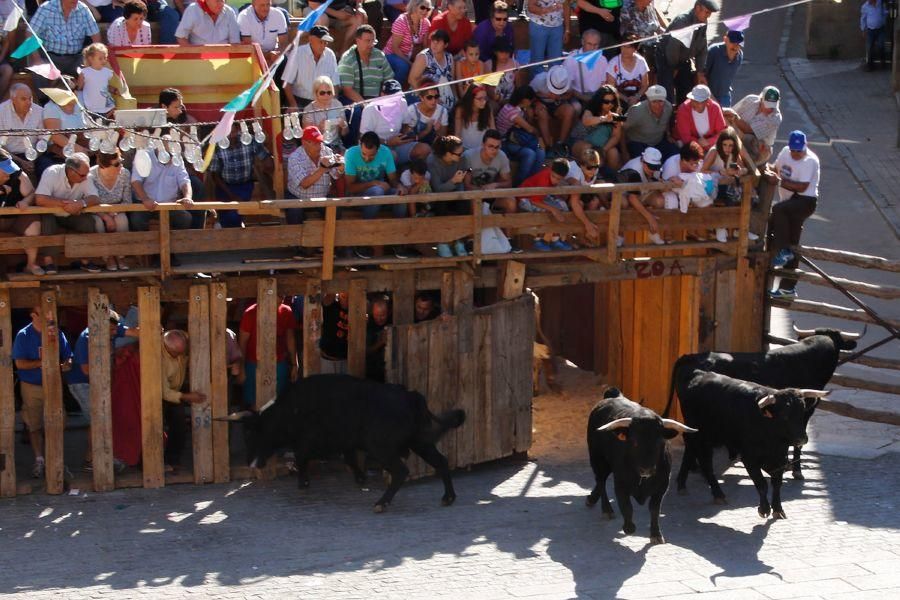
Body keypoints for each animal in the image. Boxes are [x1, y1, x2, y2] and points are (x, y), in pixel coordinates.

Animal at [223, 376, 464, 510]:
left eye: (251, 433)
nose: (250, 463)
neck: (289, 409)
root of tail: (411, 395)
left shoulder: (307, 441)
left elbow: (302, 458)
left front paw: (303, 482)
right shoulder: (345, 442)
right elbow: (348, 459)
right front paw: (360, 477)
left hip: (383, 448)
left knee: (401, 471)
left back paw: (381, 503)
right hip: (420, 441)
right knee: (441, 461)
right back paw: (448, 497)